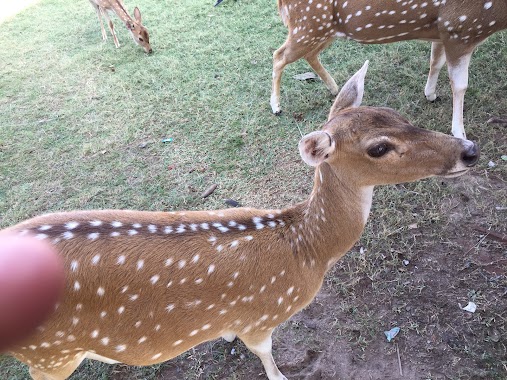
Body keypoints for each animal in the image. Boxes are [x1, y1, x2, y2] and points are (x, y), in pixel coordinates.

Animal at [3, 62, 480, 380]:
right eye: (378, 147)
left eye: (401, 116)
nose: (470, 150)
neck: (307, 249)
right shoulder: (263, 314)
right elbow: (265, 355)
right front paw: (278, 373)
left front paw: (225, 336)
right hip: (51, 355)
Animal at [272, 0, 507, 140]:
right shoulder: (461, 29)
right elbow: (460, 85)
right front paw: (460, 133)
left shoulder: (442, 33)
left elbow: (435, 62)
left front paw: (430, 94)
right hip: (308, 24)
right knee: (278, 55)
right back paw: (276, 106)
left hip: (321, 30)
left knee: (308, 55)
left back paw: (334, 88)